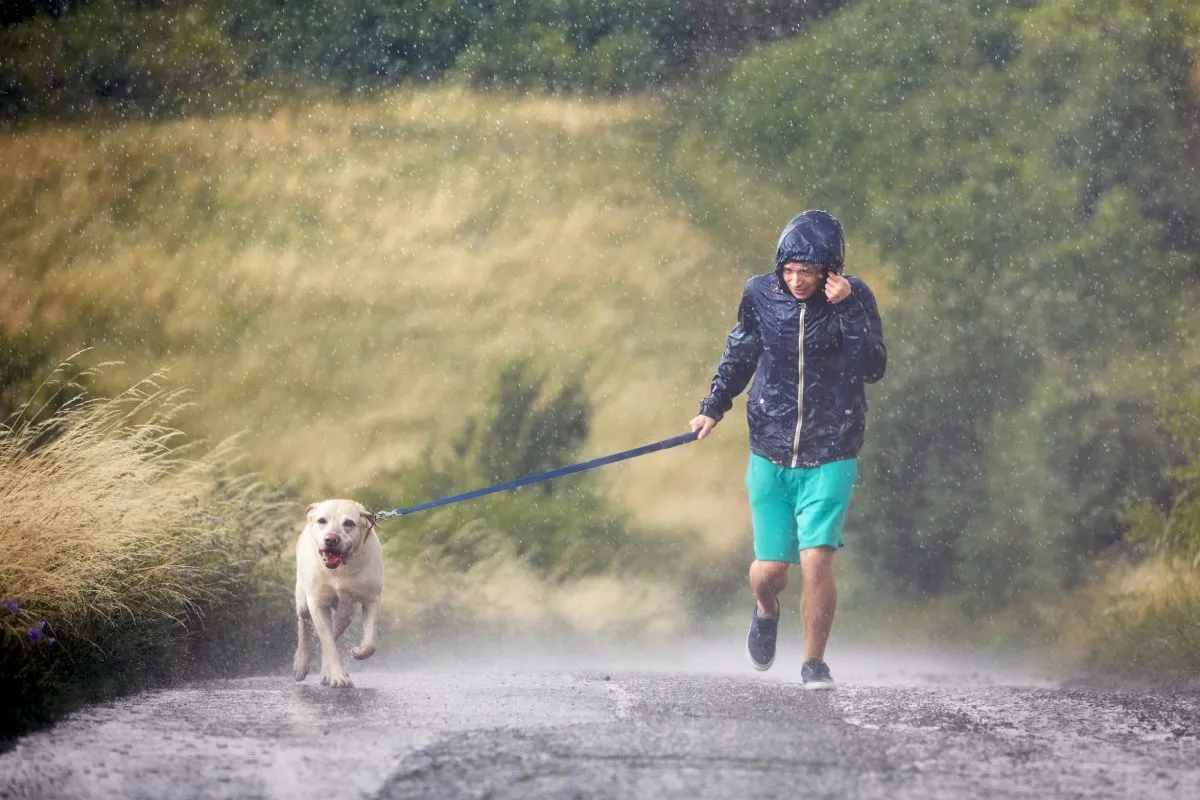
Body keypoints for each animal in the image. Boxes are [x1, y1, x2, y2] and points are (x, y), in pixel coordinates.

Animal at [292, 501, 381, 690]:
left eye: (349, 523)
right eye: (322, 520)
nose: (331, 539)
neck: (340, 569)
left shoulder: (372, 599)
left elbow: (370, 643)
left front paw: (358, 652)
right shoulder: (317, 602)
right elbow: (327, 642)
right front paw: (338, 676)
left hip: (346, 613)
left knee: (336, 628)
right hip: (303, 599)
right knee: (304, 623)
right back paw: (300, 664)